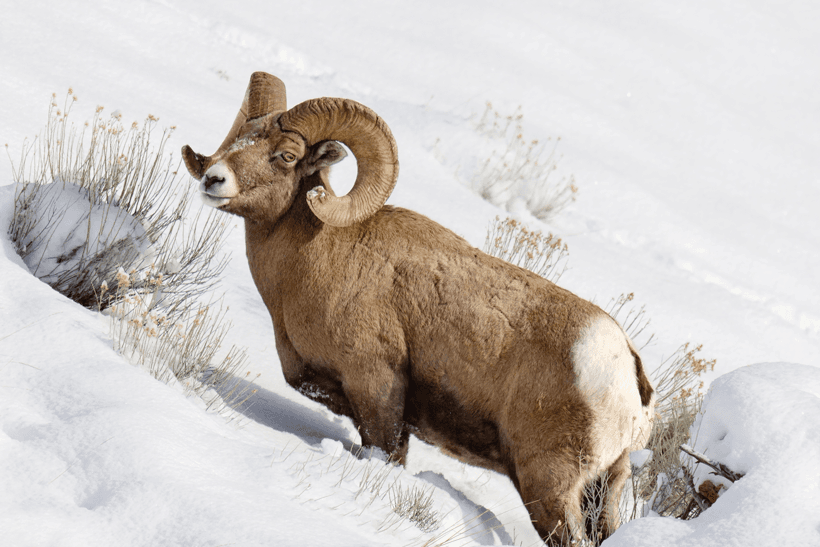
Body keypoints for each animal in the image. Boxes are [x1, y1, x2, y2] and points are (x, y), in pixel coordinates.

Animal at [182, 71, 655, 546]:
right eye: (241, 137)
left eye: (286, 155)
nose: (213, 180)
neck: (320, 254)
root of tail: (623, 369)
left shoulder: (375, 388)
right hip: (602, 488)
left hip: (548, 487)